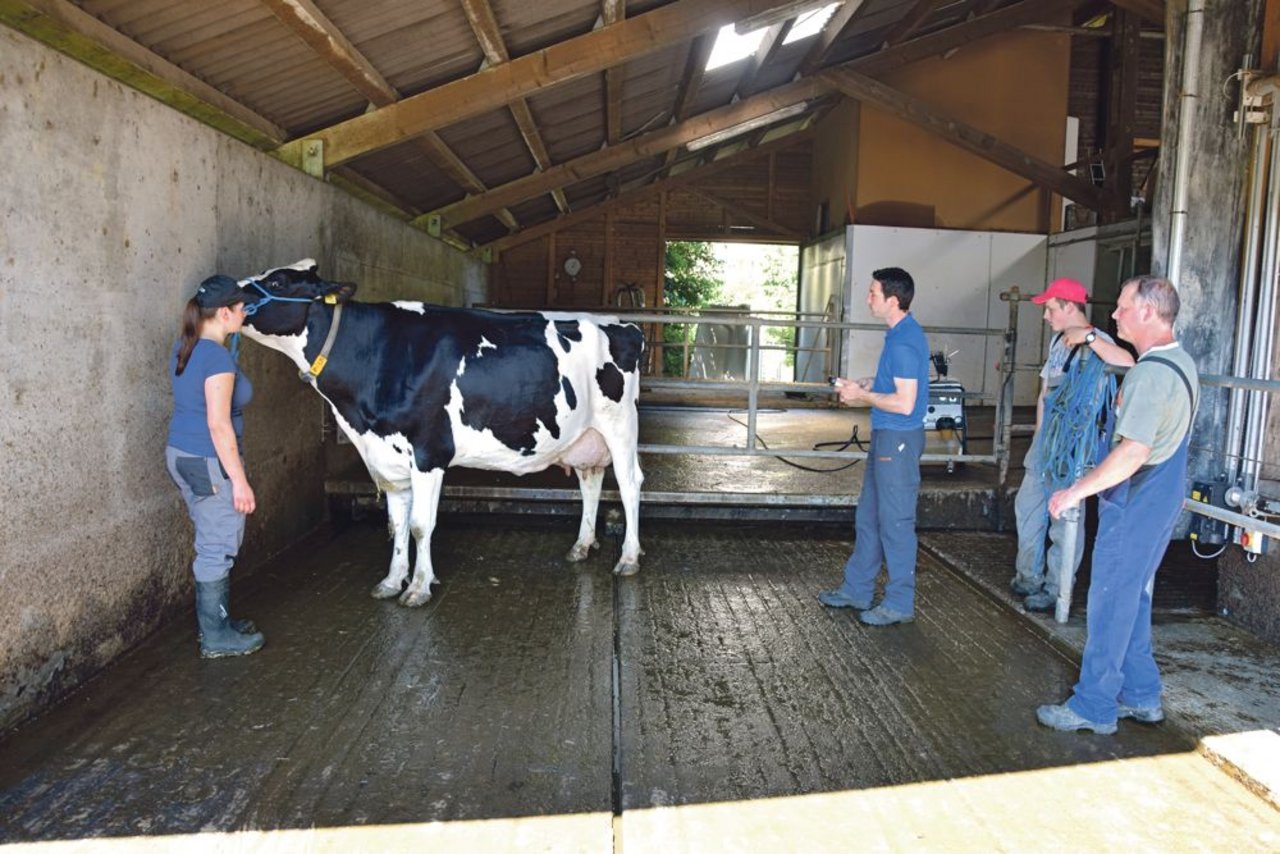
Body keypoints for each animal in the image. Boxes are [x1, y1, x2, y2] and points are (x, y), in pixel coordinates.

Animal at [236, 257, 645, 604]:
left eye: (277, 281)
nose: (225, 288)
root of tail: (625, 326)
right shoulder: (388, 456)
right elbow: (396, 523)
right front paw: (392, 580)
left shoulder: (429, 452)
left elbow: (420, 525)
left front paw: (418, 586)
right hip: (585, 436)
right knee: (591, 481)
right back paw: (582, 545)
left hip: (620, 425)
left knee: (629, 483)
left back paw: (628, 557)